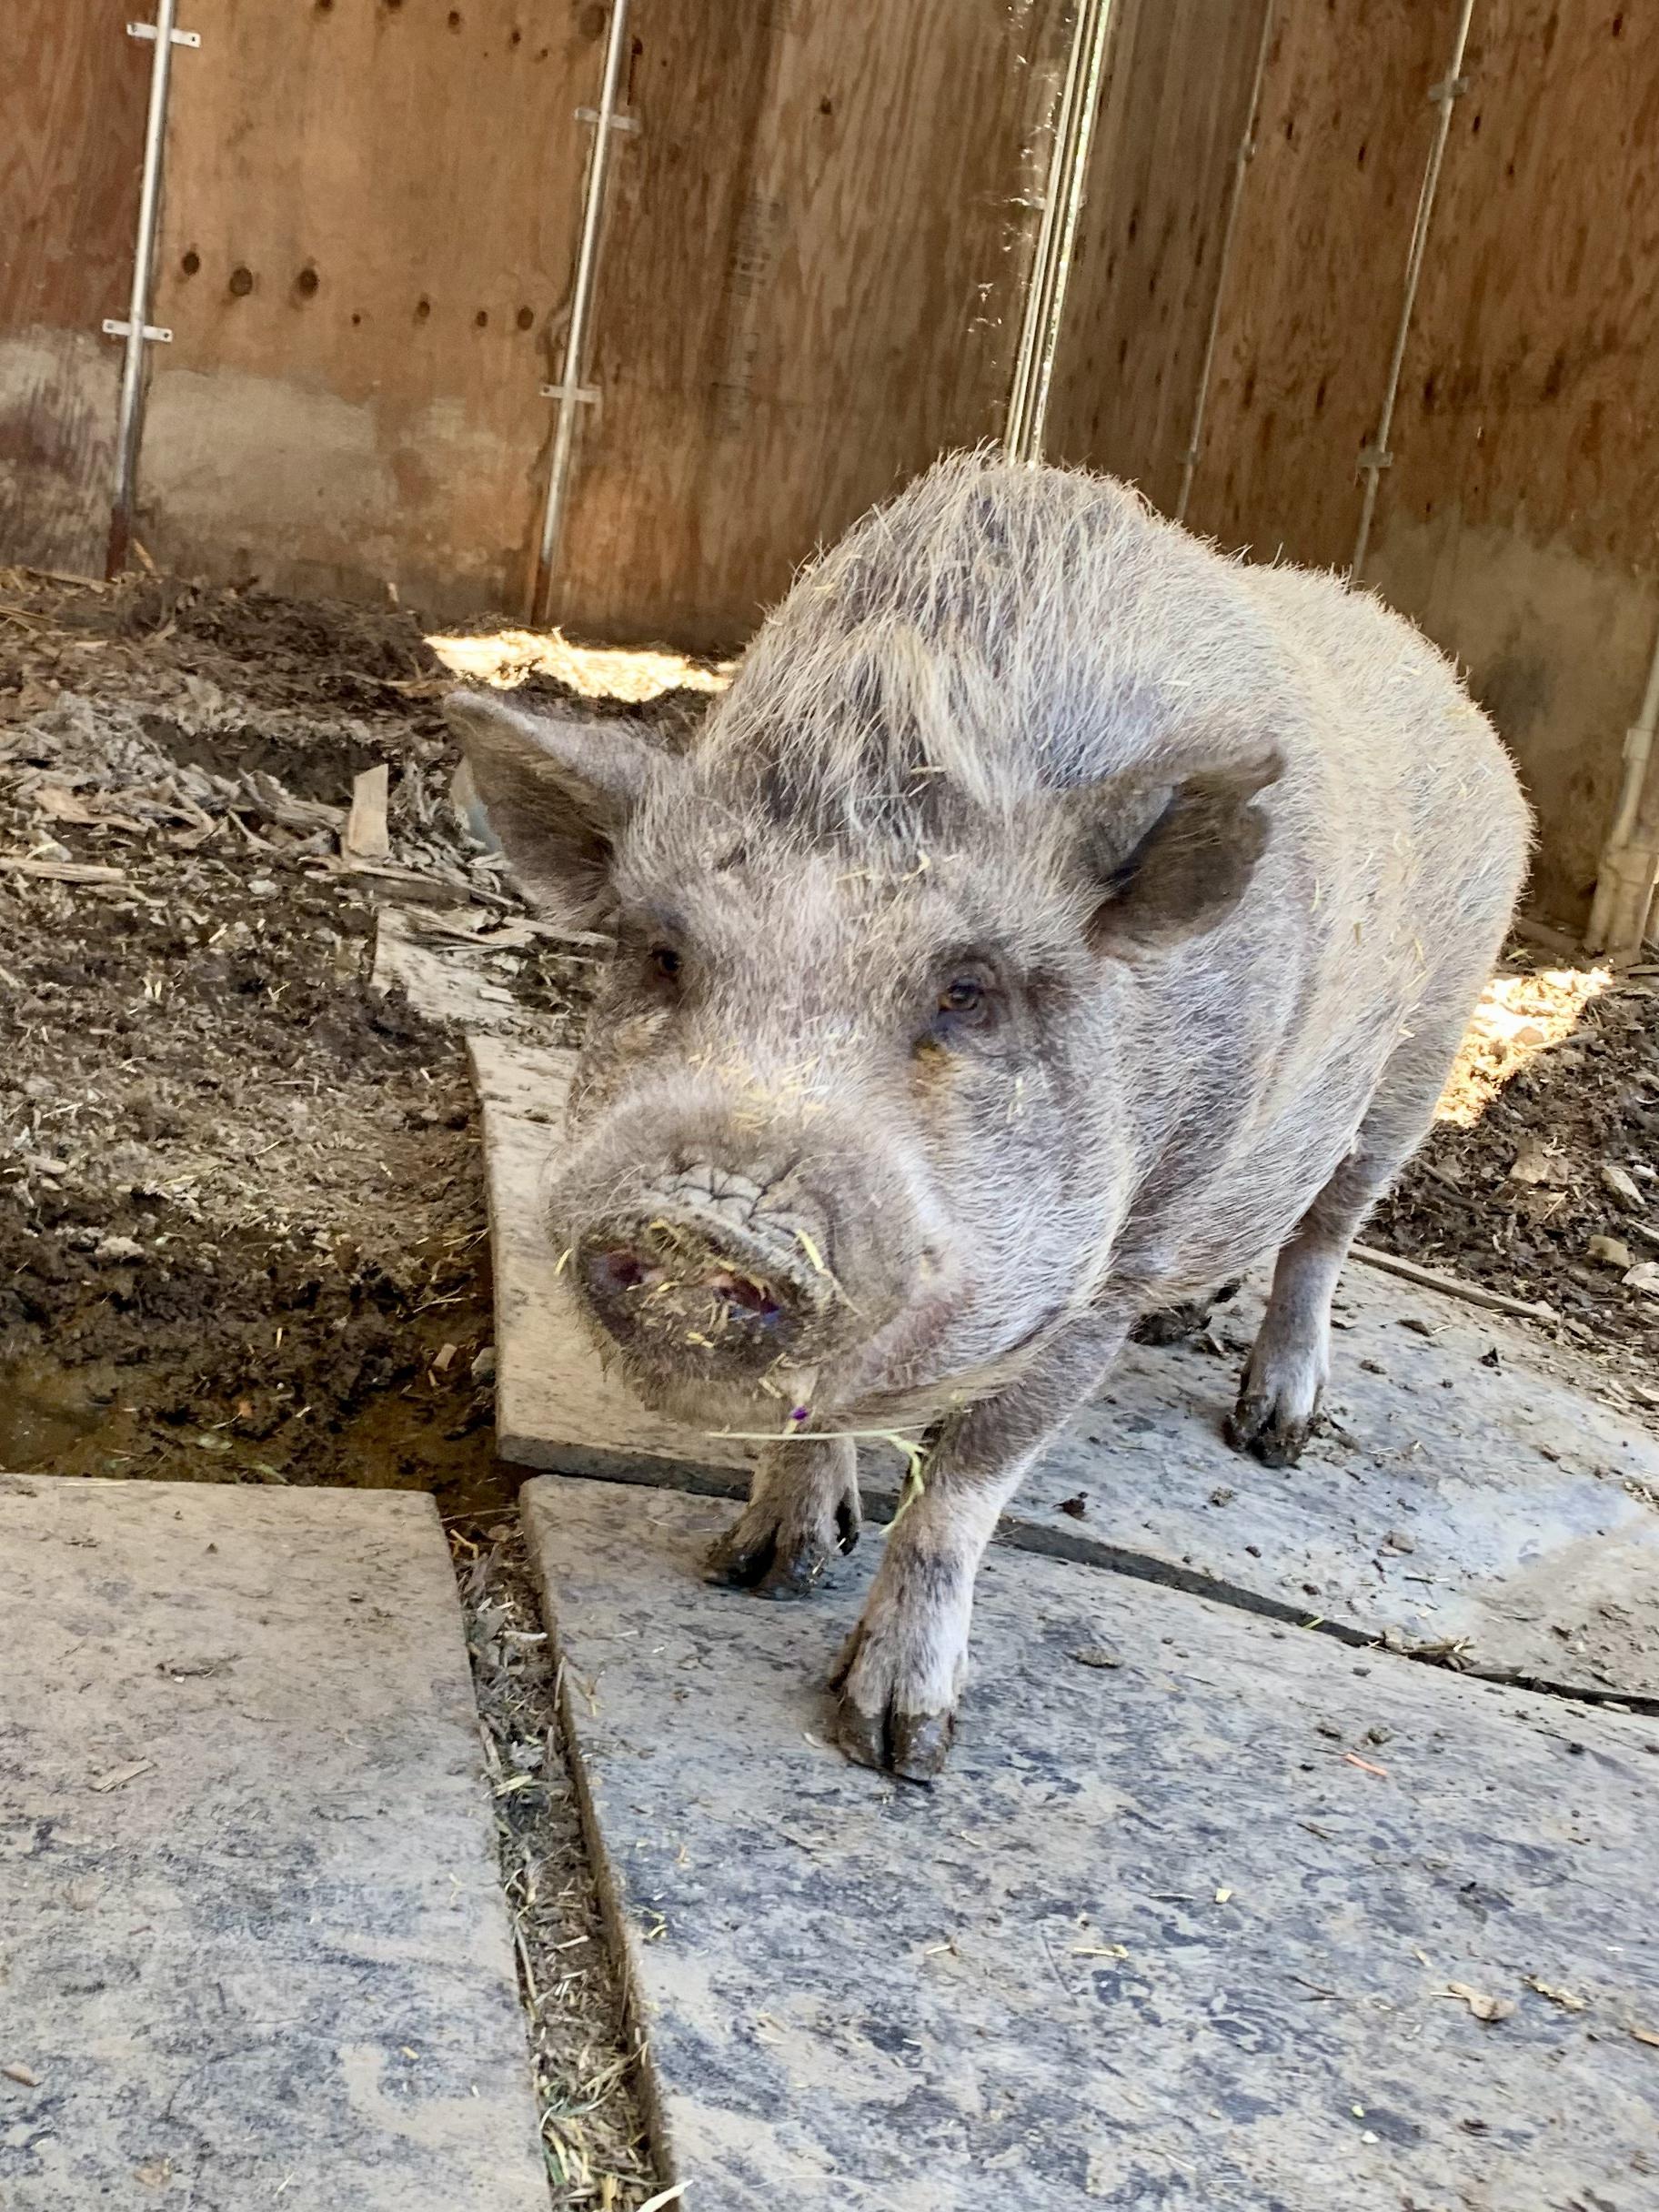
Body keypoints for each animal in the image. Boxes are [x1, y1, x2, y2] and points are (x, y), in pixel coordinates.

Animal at [448, 454, 1529, 1783]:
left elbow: (968, 1479)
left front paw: (897, 1746)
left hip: (1422, 1059)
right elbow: (814, 1419)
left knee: (1325, 1235)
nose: (698, 1221)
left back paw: (1272, 1434)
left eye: (968, 993)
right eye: (661, 955)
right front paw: (759, 1571)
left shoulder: (1121, 1253)